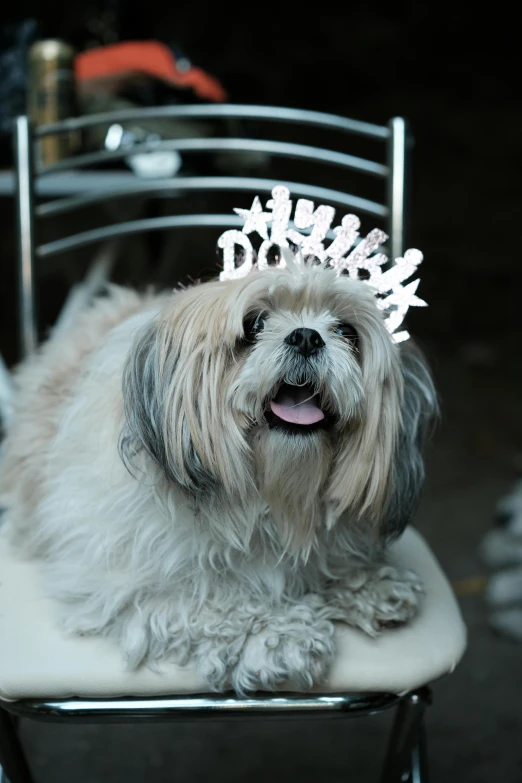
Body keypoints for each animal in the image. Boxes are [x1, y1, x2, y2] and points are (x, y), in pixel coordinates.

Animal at [0, 210, 434, 700]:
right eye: (254, 325)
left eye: (345, 331)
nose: (307, 337)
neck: (268, 498)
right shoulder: (120, 582)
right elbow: (207, 600)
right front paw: (277, 634)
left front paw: (364, 581)